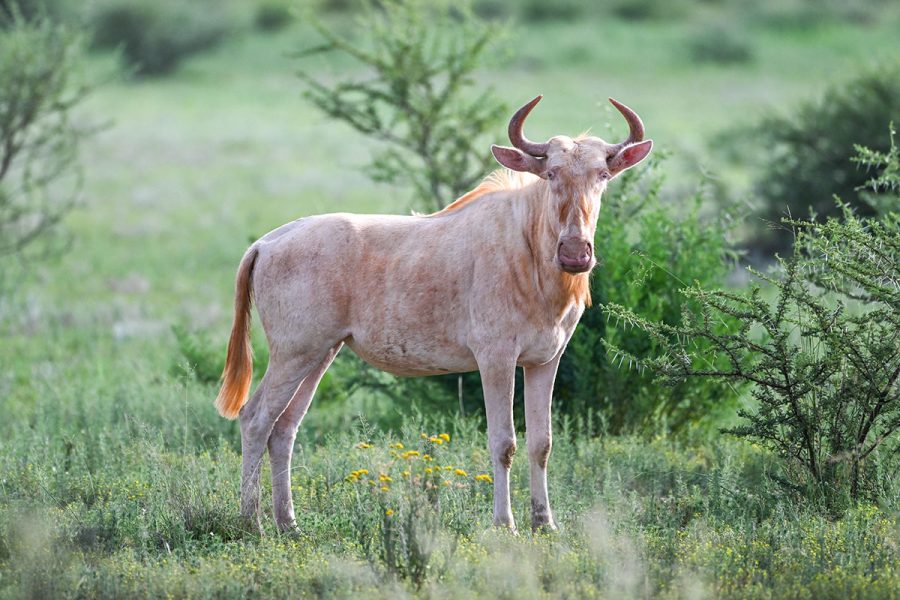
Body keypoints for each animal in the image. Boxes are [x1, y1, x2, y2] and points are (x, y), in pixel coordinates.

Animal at [215, 96, 652, 533]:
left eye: (602, 174)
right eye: (551, 172)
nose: (575, 254)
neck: (530, 249)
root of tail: (267, 242)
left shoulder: (545, 360)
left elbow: (541, 443)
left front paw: (545, 523)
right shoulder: (496, 358)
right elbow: (504, 442)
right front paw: (504, 524)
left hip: (321, 353)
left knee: (285, 427)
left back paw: (288, 523)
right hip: (294, 353)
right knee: (256, 418)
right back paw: (251, 523)